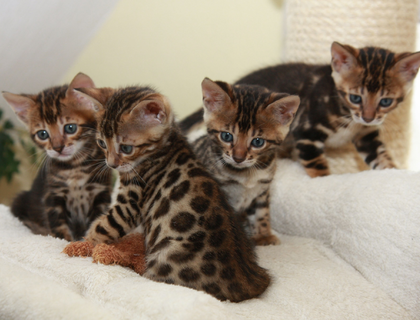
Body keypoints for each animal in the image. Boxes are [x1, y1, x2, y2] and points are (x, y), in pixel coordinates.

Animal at [1, 74, 112, 241]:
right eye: (42, 134)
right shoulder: (53, 196)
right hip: (20, 200)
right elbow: (58, 227)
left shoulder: (101, 192)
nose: (58, 148)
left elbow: (96, 222)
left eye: (70, 128)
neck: (75, 167)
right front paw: (67, 242)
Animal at [72, 85, 270, 302]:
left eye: (126, 148)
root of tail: (252, 285)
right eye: (101, 143)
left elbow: (103, 226)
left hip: (166, 254)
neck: (165, 145)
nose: (111, 164)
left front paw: (83, 244)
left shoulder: (130, 203)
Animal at [181, 42, 420, 178]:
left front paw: (396, 175)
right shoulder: (306, 131)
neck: (349, 116)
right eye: (355, 97)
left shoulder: (366, 136)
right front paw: (325, 182)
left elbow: (382, 158)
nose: (369, 117)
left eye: (386, 101)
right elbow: (318, 167)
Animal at [186, 79, 298, 246]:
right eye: (226, 136)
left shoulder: (262, 190)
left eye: (258, 142)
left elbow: (261, 213)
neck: (246, 175)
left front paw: (263, 235)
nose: (238, 158)